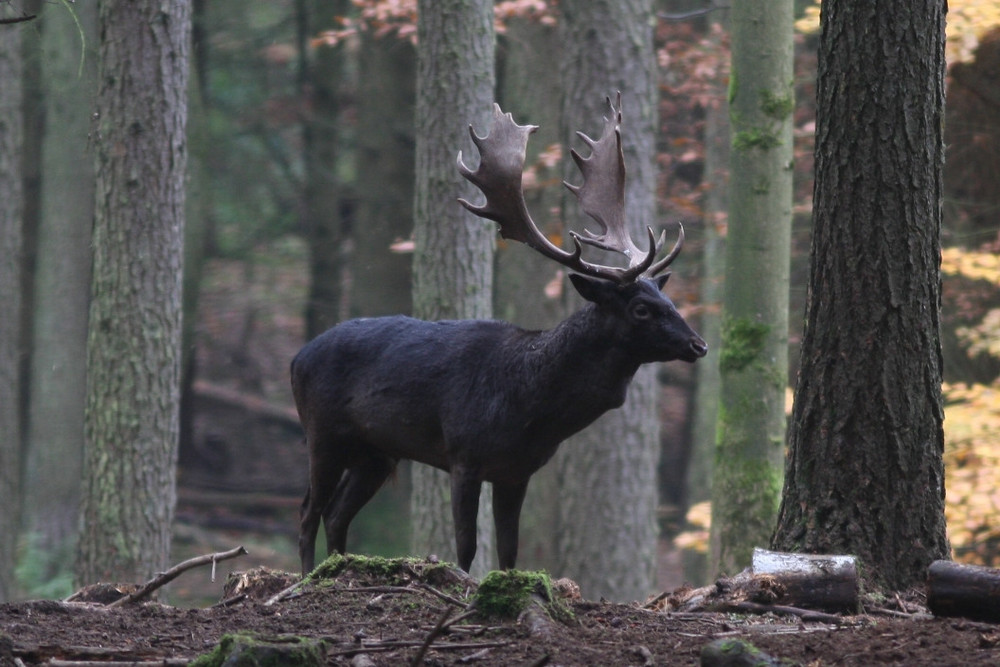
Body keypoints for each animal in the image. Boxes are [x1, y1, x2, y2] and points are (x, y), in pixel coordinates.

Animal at [292, 94, 708, 576]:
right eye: (641, 308)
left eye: (667, 298)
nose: (699, 344)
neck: (530, 410)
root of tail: (296, 358)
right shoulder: (464, 454)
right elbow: (466, 546)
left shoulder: (517, 471)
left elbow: (510, 553)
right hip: (323, 431)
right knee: (308, 512)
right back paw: (305, 578)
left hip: (376, 452)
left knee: (337, 513)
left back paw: (334, 570)